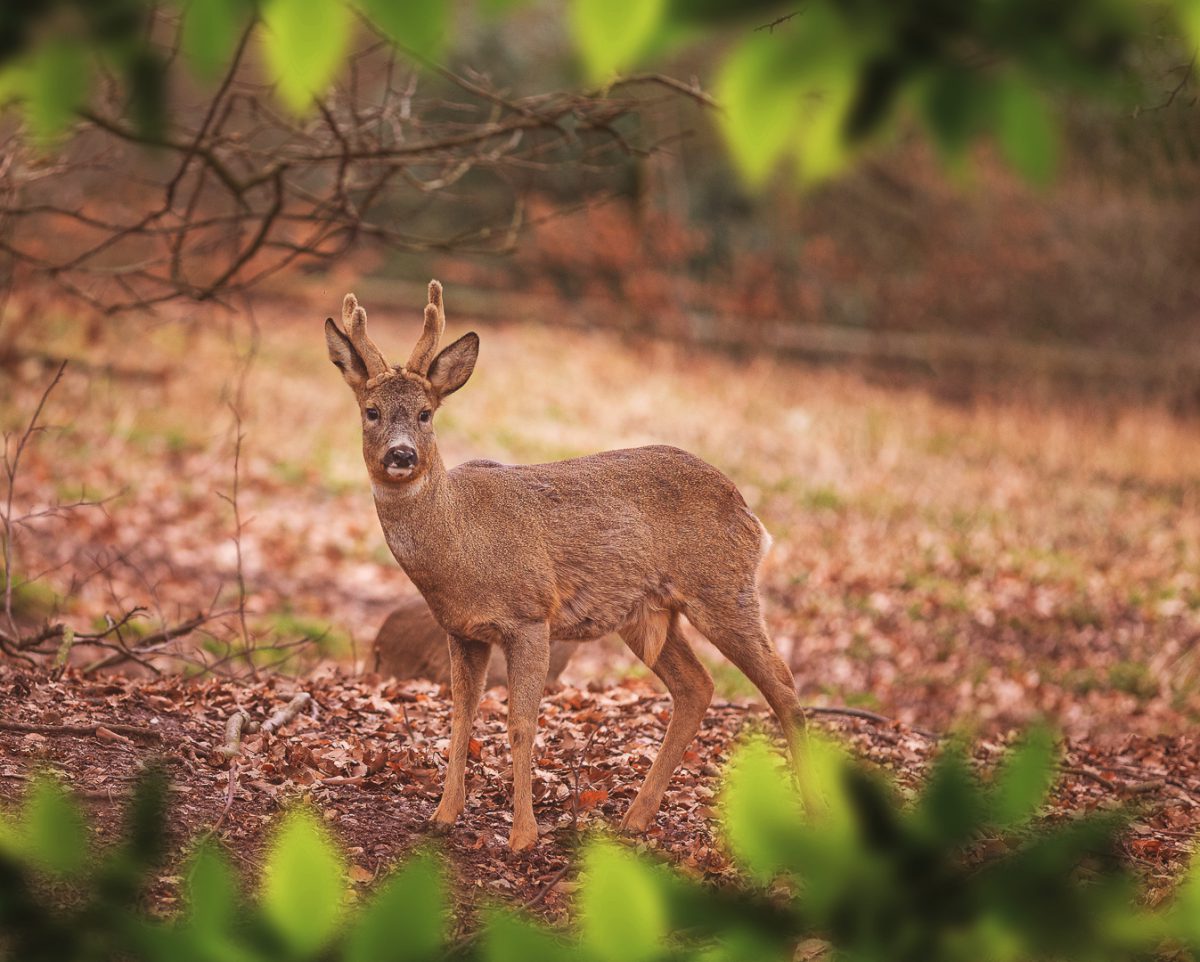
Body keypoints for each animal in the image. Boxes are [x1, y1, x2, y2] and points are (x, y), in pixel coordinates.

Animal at [324, 279, 801, 849]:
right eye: (371, 411)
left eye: (425, 414)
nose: (401, 456)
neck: (461, 544)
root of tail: (752, 516)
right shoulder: (462, 631)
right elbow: (460, 716)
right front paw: (443, 815)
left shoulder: (530, 615)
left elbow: (521, 724)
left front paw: (522, 837)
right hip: (645, 615)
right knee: (697, 686)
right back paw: (634, 818)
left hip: (722, 587)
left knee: (783, 685)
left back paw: (813, 807)